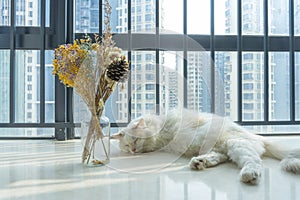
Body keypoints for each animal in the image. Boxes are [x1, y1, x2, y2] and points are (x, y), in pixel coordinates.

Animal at [112, 109, 300, 184]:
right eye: (127, 145)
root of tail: (257, 136)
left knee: (254, 162)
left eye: (135, 141)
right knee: (221, 157)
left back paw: (249, 175)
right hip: (221, 147)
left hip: (235, 143)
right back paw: (199, 162)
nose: (133, 151)